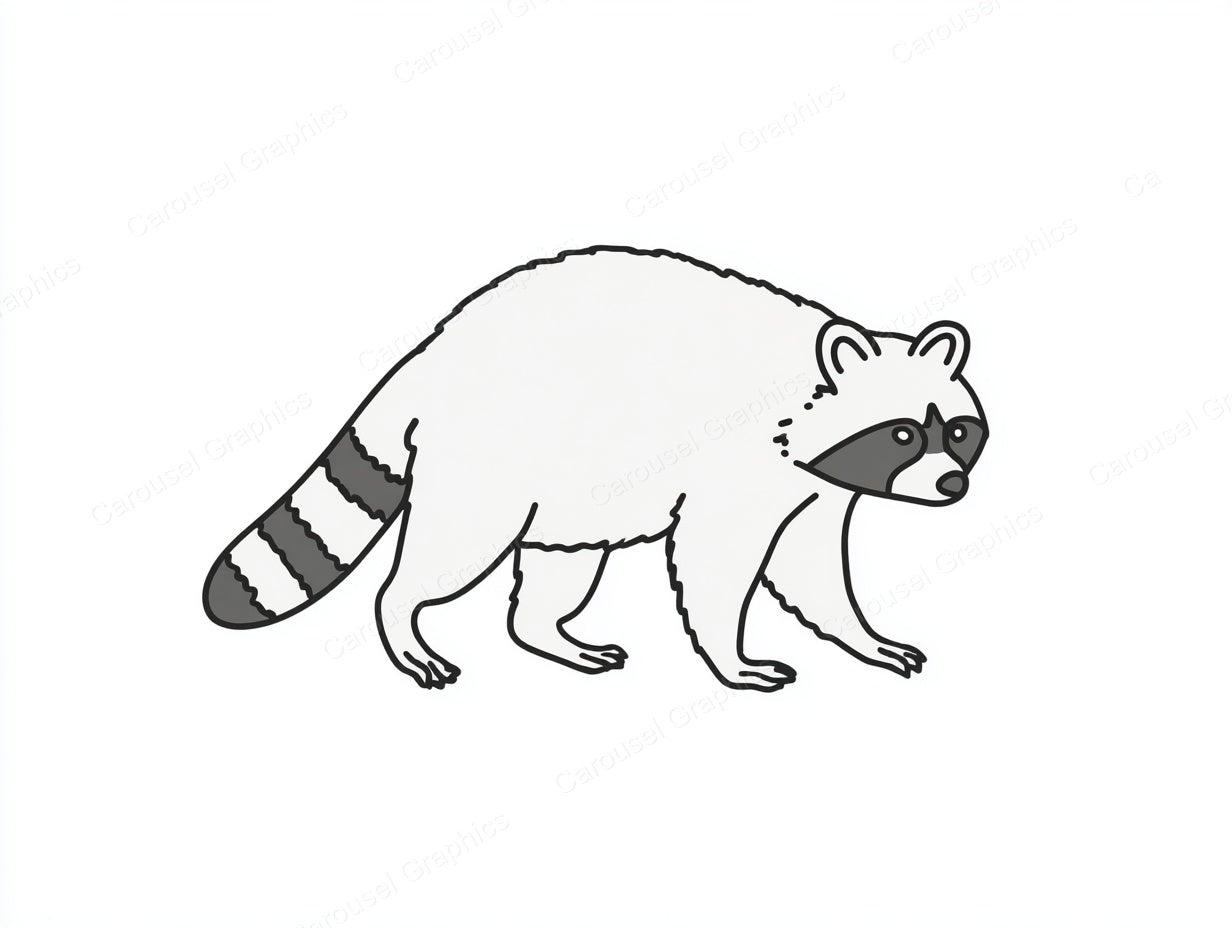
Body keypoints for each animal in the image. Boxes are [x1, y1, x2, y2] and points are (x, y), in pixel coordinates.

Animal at [203, 246, 988, 691]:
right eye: (901, 435)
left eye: (956, 431)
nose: (953, 485)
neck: (802, 398)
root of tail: (431, 356)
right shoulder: (736, 463)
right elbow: (716, 563)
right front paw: (732, 658)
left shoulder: (813, 487)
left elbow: (810, 568)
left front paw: (864, 637)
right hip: (488, 458)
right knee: (448, 555)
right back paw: (402, 620)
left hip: (567, 488)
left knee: (557, 569)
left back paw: (547, 633)